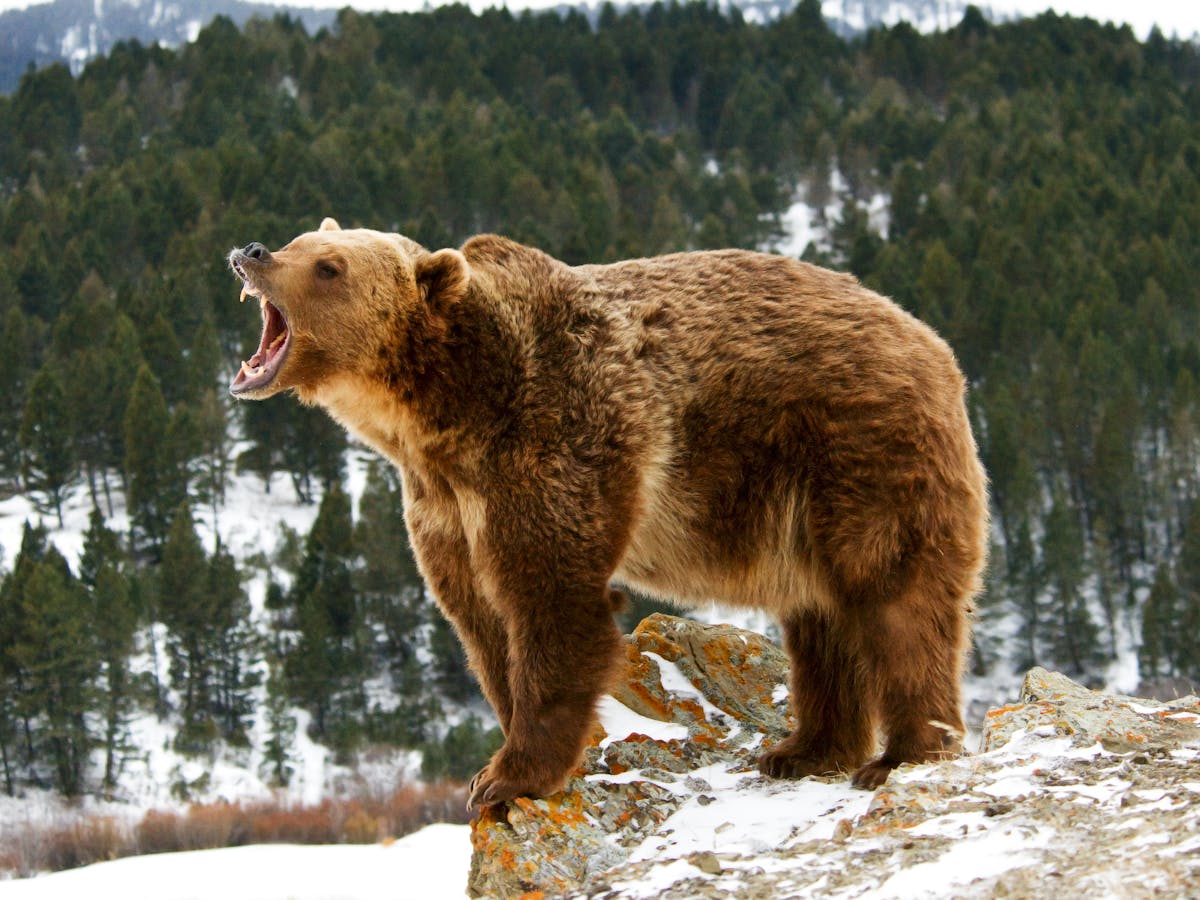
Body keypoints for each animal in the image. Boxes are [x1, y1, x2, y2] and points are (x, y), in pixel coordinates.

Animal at [231, 218, 984, 811]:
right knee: (821, 617)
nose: (252, 251)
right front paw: (504, 757)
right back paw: (804, 748)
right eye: (303, 240)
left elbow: (552, 600)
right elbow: (480, 621)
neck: (445, 415)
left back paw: (903, 753)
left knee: (895, 596)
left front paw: (508, 777)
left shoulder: (555, 440)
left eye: (329, 266)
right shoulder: (443, 504)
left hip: (859, 449)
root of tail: (932, 343)